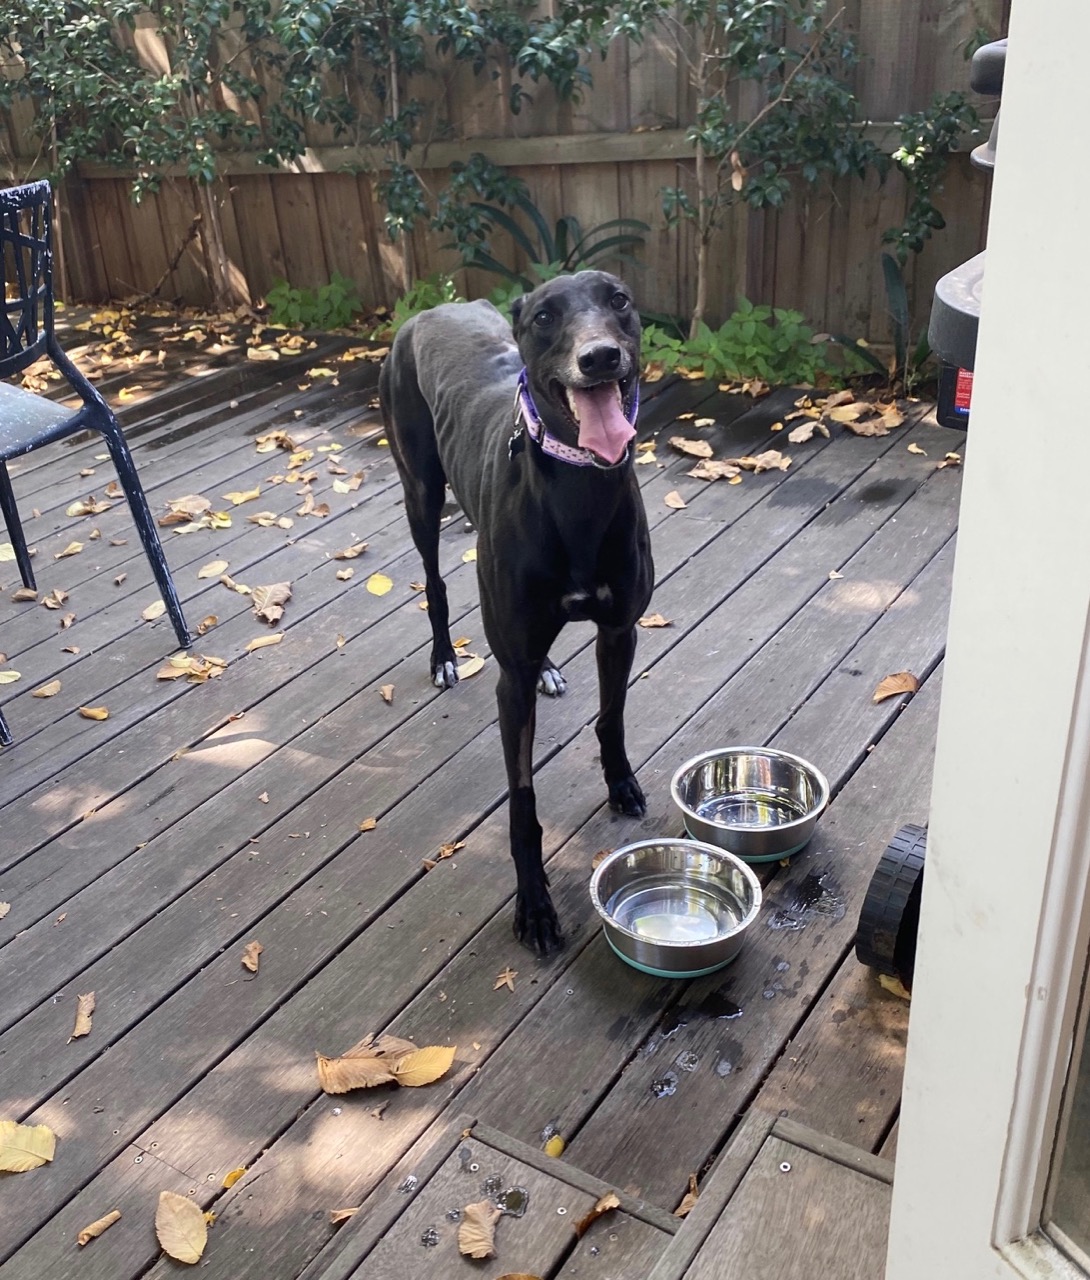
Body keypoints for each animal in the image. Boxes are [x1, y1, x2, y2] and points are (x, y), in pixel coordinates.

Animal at [379, 270, 653, 954]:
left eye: (619, 299)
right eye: (546, 317)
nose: (599, 358)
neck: (580, 487)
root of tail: (434, 308)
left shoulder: (620, 630)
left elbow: (611, 720)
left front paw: (620, 784)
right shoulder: (510, 683)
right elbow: (522, 802)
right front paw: (534, 906)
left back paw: (550, 668)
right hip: (420, 493)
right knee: (434, 583)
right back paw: (444, 658)